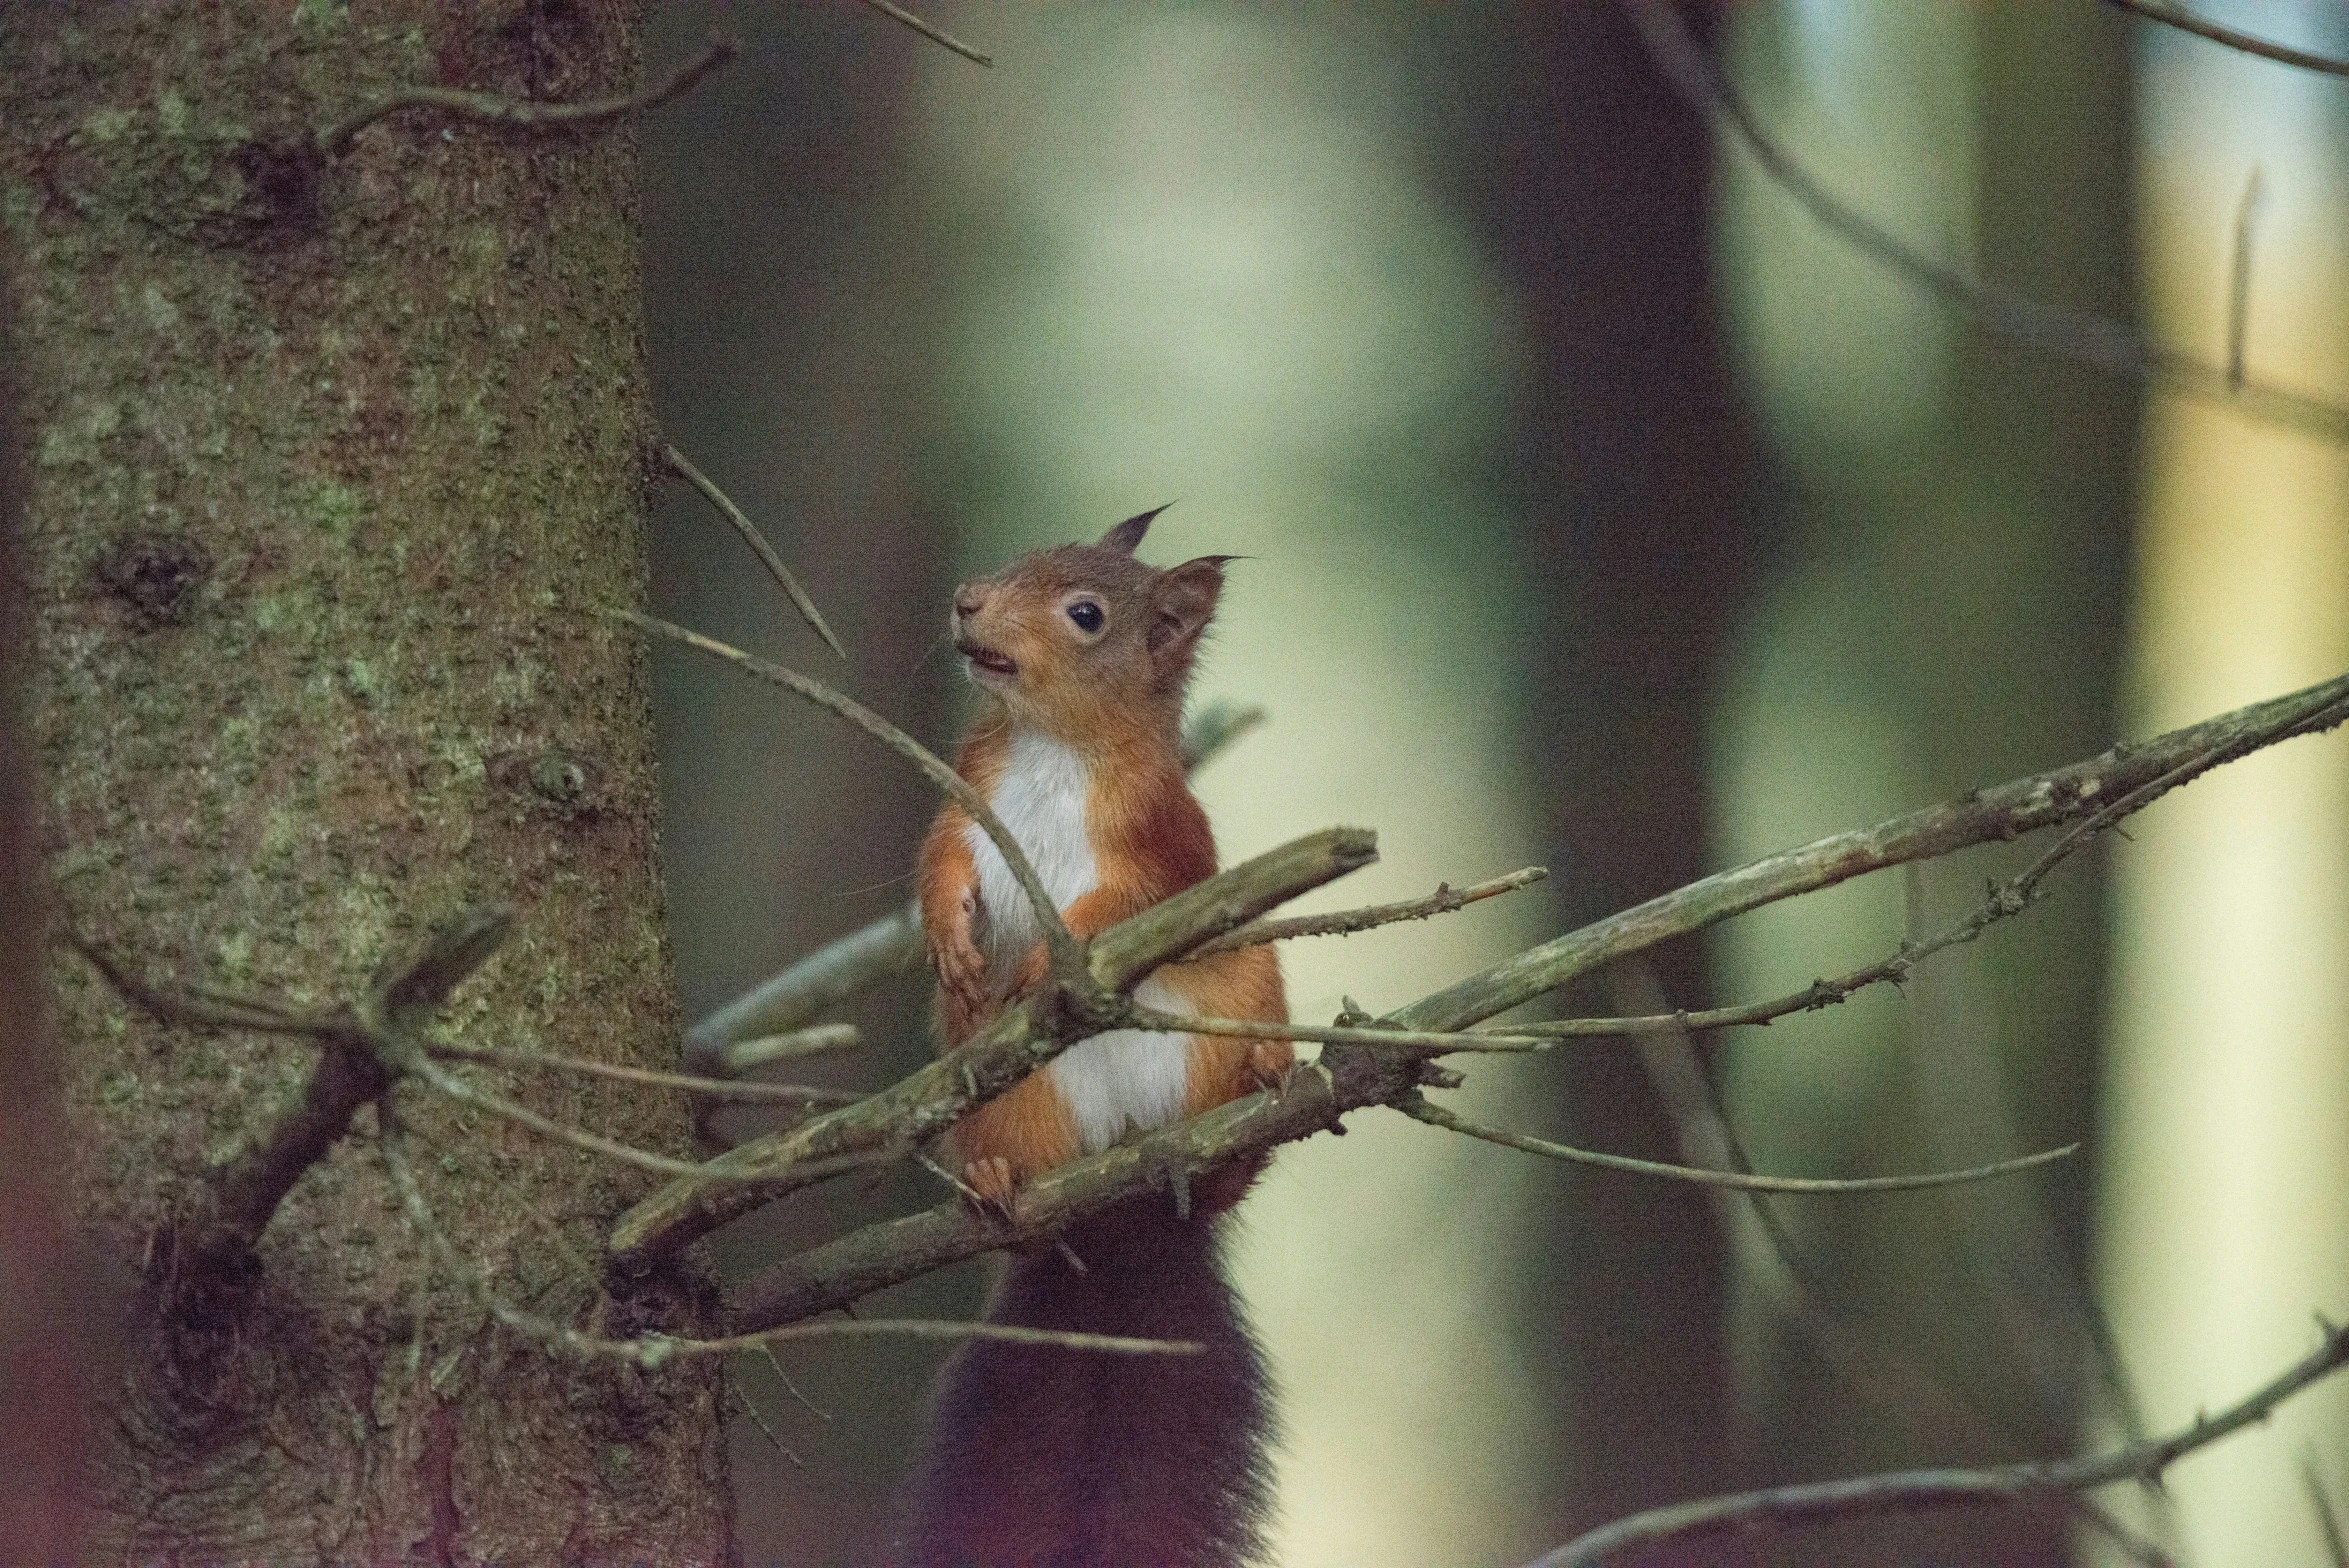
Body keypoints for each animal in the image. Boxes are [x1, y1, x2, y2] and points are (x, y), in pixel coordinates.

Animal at [906, 511, 1296, 1568]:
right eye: (1015, 557)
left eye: (1086, 615)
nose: (964, 600)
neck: (1051, 745)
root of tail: (1123, 1213)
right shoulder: (969, 792)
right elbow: (940, 853)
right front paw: (951, 936)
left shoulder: (1159, 835)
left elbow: (1123, 904)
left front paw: (1049, 961)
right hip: (1004, 1094)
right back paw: (993, 1178)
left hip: (1240, 988)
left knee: (1225, 1175)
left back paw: (1264, 1083)